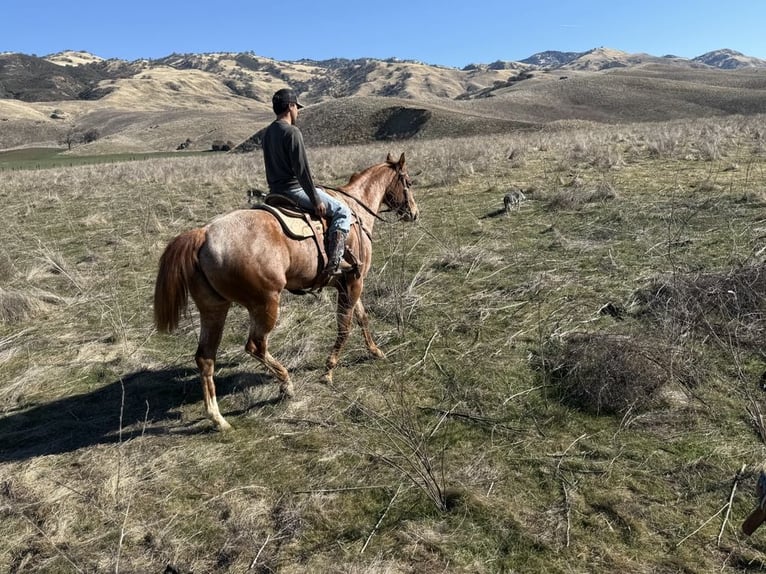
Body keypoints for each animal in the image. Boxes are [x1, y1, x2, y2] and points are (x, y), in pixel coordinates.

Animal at [154, 153, 420, 432]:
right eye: (408, 182)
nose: (414, 213)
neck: (354, 210)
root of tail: (203, 235)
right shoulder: (354, 282)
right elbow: (345, 328)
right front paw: (328, 371)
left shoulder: (346, 284)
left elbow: (362, 318)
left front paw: (375, 351)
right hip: (266, 304)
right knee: (255, 346)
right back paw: (286, 384)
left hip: (214, 309)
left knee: (205, 358)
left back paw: (218, 418)